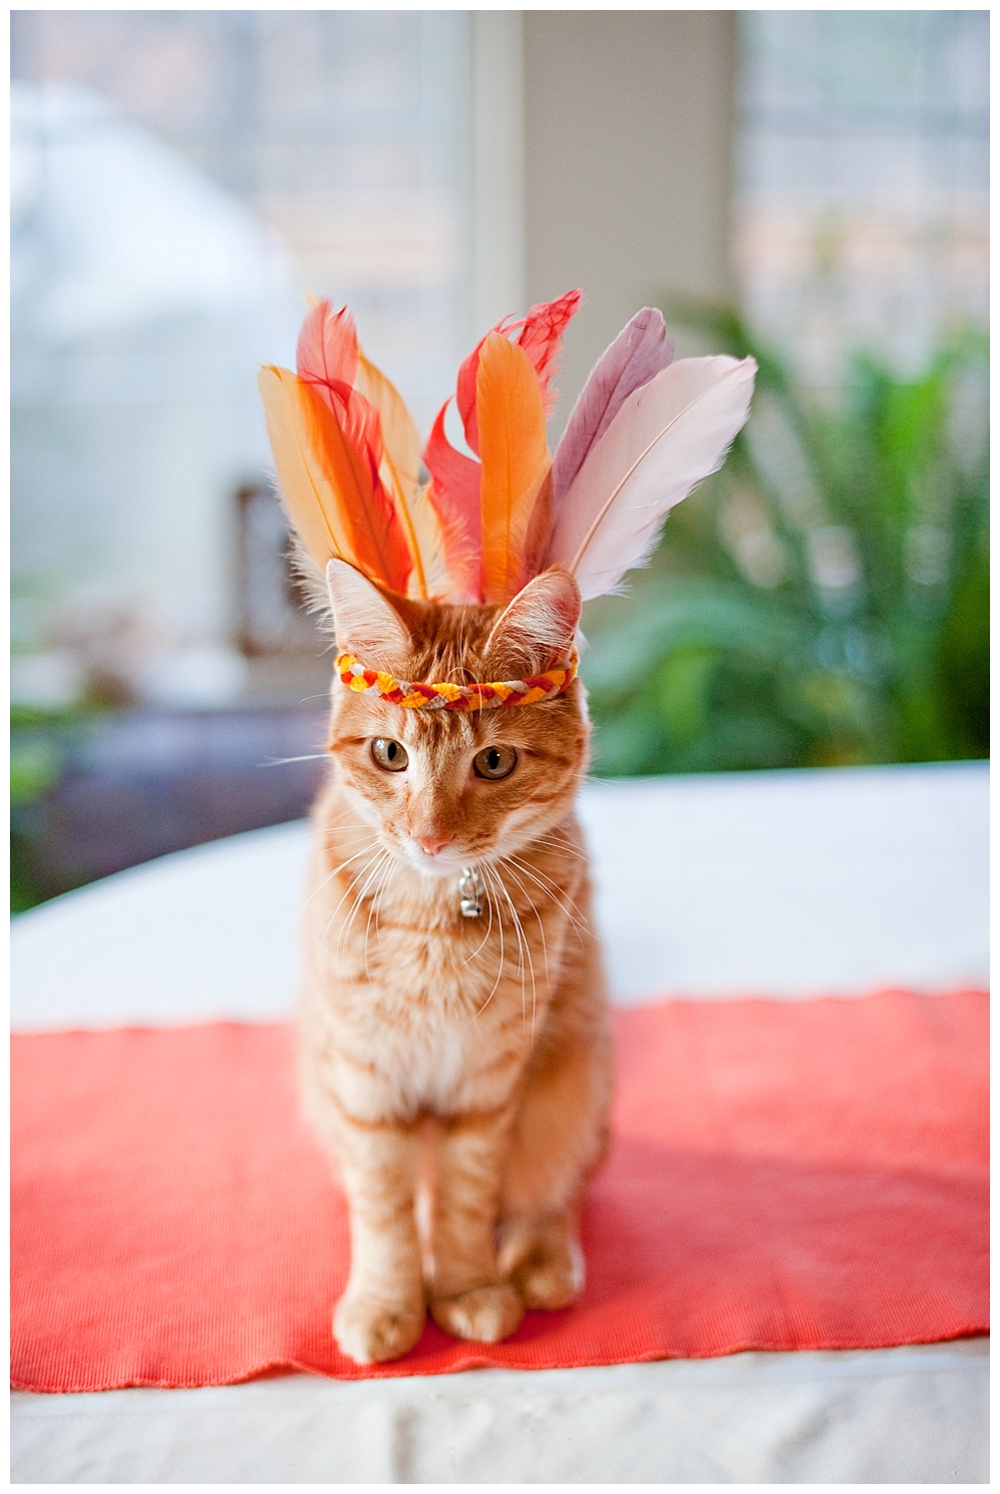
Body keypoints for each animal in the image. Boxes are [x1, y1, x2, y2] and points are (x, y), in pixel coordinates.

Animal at [295, 561, 612, 1368]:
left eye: (493, 761)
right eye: (390, 753)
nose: (430, 837)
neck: (433, 919)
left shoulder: (490, 1084)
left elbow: (469, 1199)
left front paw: (467, 1288)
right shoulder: (365, 1080)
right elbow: (383, 1207)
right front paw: (388, 1301)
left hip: (575, 1082)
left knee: (556, 1188)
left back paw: (543, 1262)